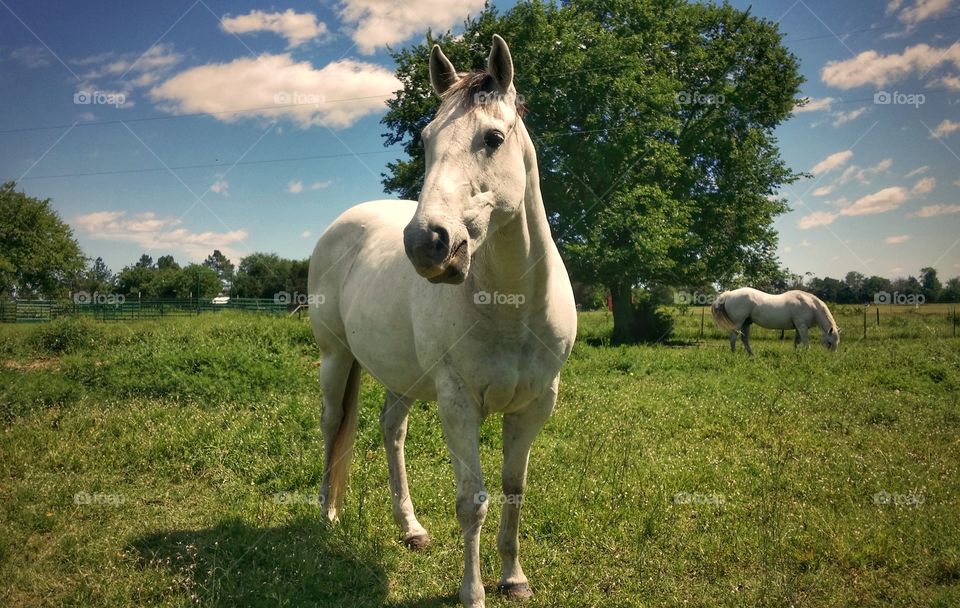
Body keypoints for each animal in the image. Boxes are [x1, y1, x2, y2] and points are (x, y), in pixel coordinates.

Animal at [308, 35, 576, 604]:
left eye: (493, 138)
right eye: (427, 140)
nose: (426, 243)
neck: (510, 308)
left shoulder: (536, 405)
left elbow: (514, 491)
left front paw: (513, 578)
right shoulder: (458, 403)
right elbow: (472, 500)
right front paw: (472, 592)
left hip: (402, 375)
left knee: (392, 429)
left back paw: (410, 529)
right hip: (334, 358)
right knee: (332, 425)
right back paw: (328, 514)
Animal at [712, 288, 840, 354]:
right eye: (829, 343)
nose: (829, 358)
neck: (810, 305)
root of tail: (728, 295)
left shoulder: (798, 328)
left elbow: (796, 342)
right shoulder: (802, 327)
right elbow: (805, 343)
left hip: (746, 323)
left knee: (745, 339)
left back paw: (751, 355)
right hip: (739, 323)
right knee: (734, 338)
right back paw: (734, 354)